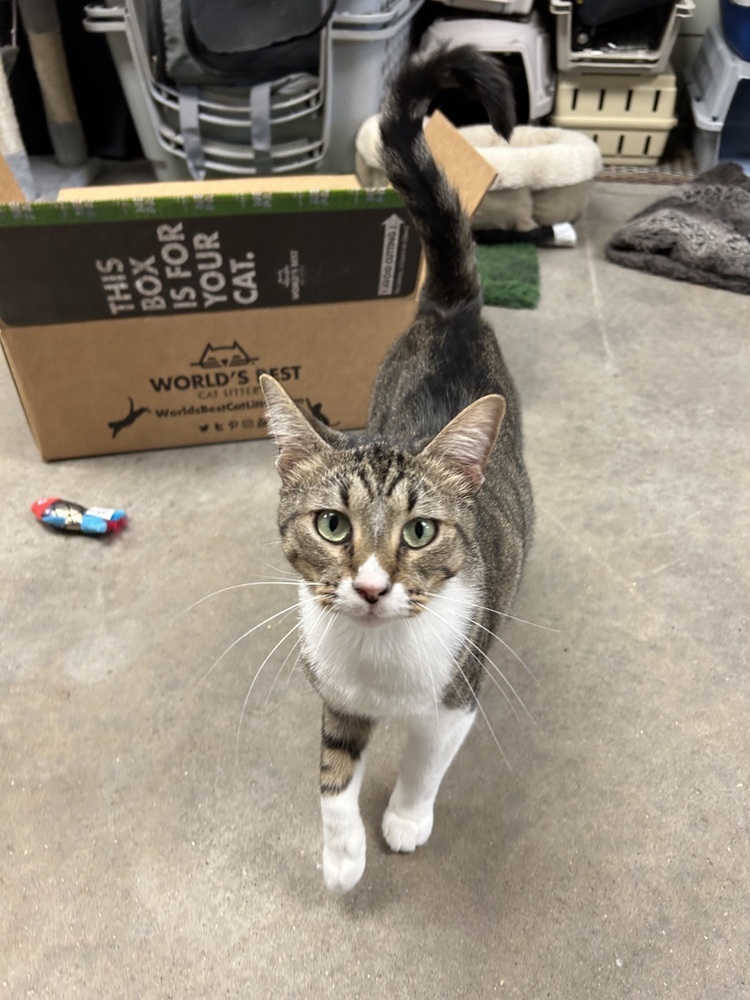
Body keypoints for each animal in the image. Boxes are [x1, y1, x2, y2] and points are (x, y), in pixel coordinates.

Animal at [262, 43, 536, 896]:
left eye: (419, 532)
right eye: (330, 525)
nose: (373, 586)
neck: (380, 664)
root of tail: (451, 310)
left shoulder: (457, 693)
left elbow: (425, 760)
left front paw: (406, 821)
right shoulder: (334, 692)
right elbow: (330, 773)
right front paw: (342, 855)